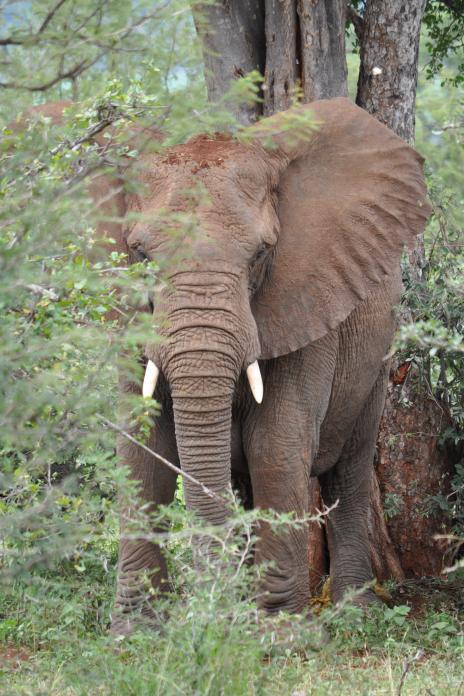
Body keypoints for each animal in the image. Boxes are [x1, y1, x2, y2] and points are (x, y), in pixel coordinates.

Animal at [17, 95, 432, 632]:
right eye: (139, 255)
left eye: (261, 254)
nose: (216, 611)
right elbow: (142, 452)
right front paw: (136, 632)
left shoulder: (307, 303)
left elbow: (276, 447)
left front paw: (279, 633)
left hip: (375, 355)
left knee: (349, 469)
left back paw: (353, 613)